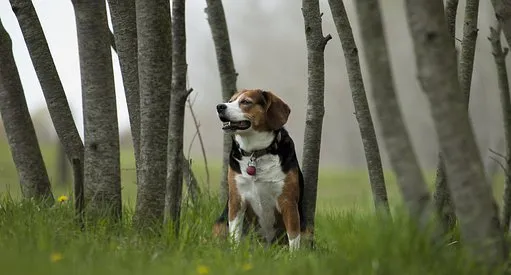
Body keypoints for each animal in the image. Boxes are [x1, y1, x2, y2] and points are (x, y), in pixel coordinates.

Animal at [211, 89, 304, 251]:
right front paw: (235, 252)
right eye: (230, 101)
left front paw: (294, 256)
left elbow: (293, 237)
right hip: (220, 224)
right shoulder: (236, 200)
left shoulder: (288, 202)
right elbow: (234, 234)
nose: (220, 106)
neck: (256, 153)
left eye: (246, 102)